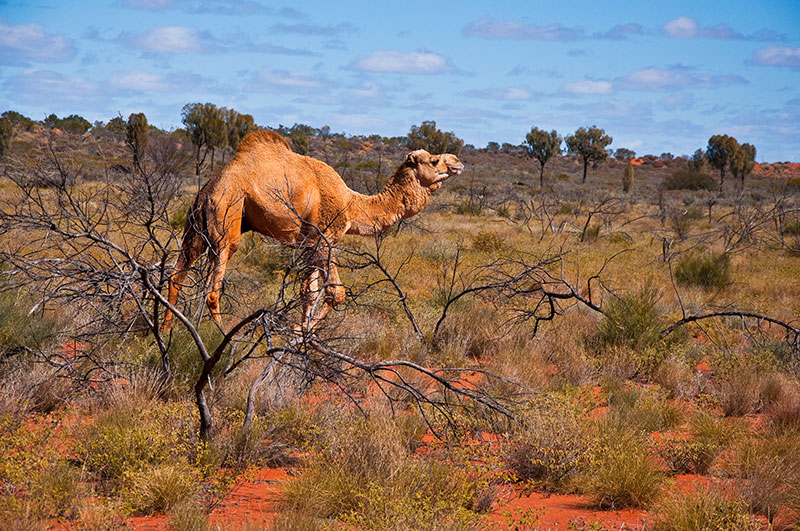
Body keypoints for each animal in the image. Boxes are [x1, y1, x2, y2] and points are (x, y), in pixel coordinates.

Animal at [162, 130, 462, 330]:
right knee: (213, 290)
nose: (457, 161)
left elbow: (308, 293)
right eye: (434, 161)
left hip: (196, 224)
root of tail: (210, 188)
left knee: (177, 274)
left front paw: (302, 334)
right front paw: (302, 333)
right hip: (227, 216)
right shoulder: (324, 238)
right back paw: (222, 340)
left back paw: (165, 332)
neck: (352, 204)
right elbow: (335, 293)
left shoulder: (307, 246)